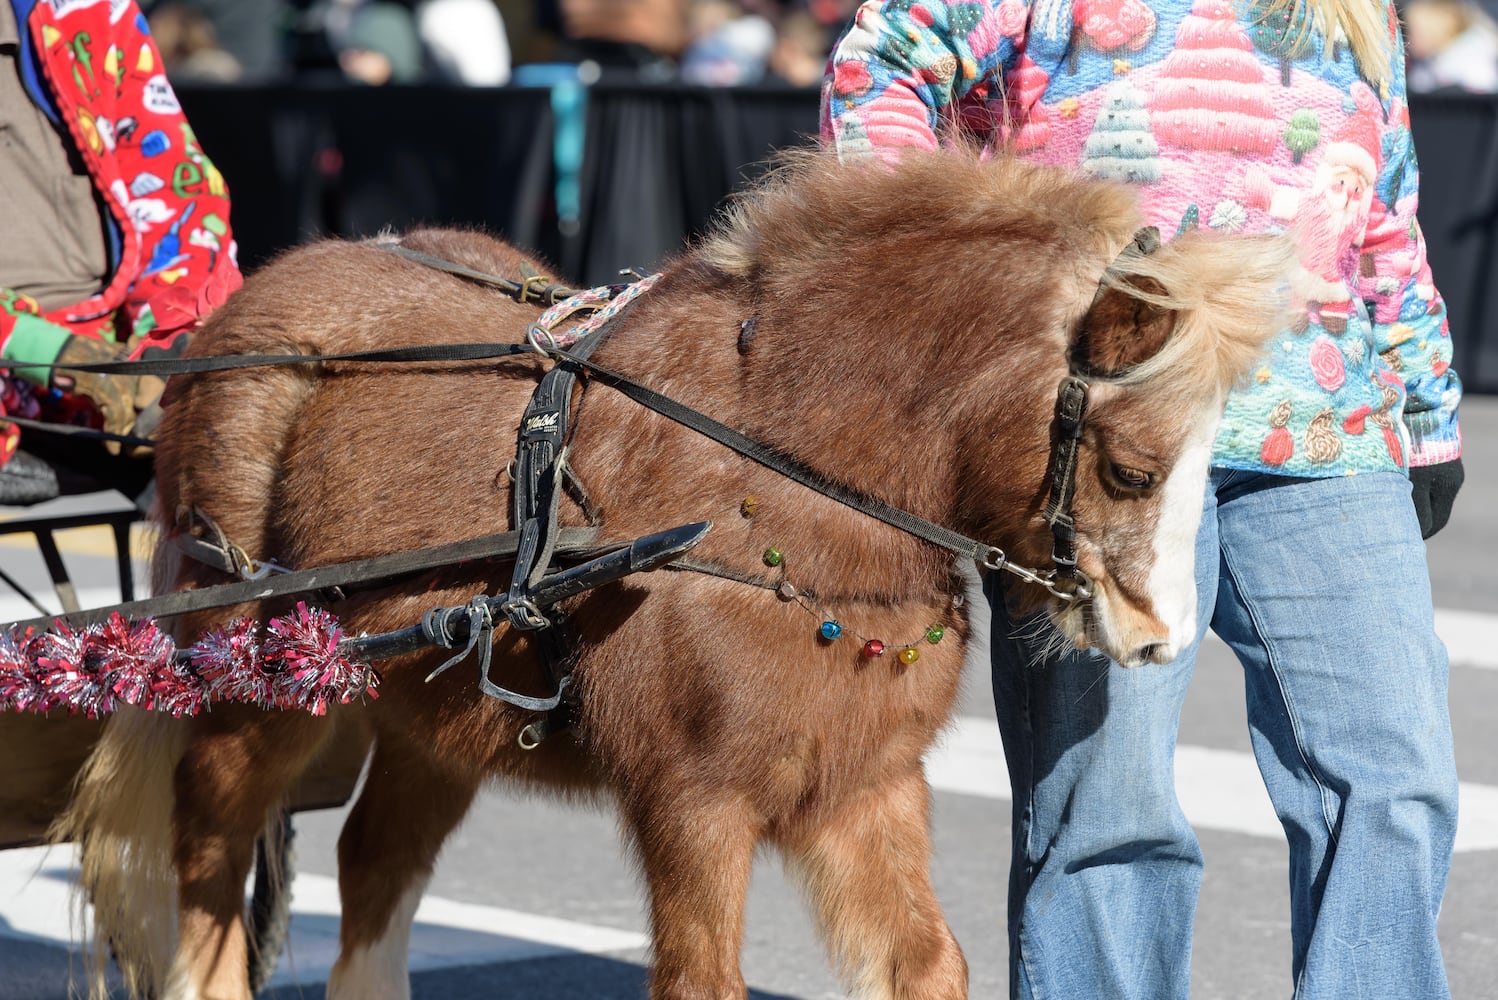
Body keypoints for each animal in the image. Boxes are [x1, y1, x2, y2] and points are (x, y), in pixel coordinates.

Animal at [58, 150, 1294, 999]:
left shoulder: (863, 787)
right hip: (256, 690)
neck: (779, 484)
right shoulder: (693, 801)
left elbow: (926, 964)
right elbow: (704, 978)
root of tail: (251, 304)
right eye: (1133, 469)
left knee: (373, 862)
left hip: (433, 714)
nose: (1157, 636)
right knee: (208, 868)